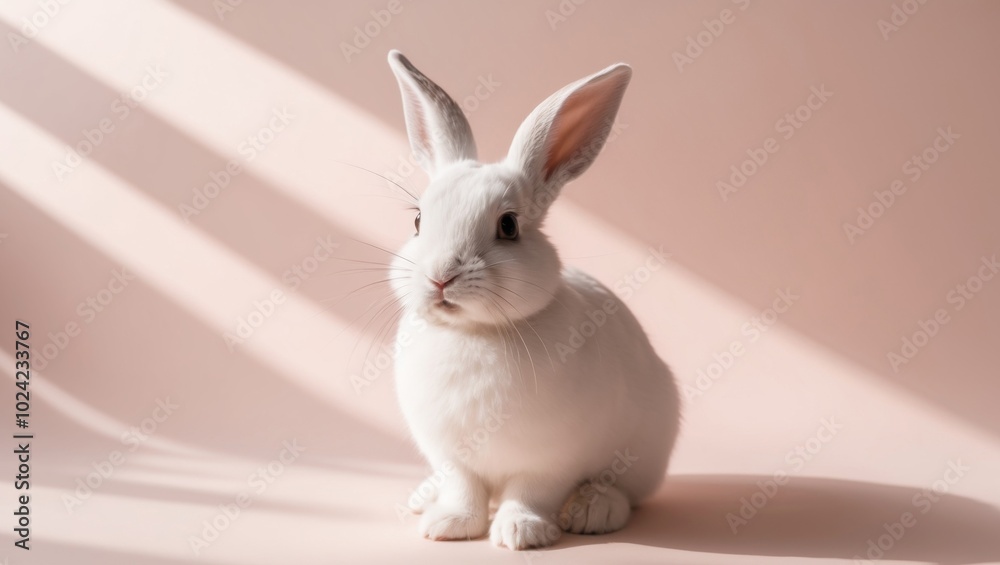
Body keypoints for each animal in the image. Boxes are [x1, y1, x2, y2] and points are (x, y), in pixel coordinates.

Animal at [385, 50, 680, 550]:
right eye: (419, 221)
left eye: (508, 226)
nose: (441, 277)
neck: (474, 333)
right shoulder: (450, 454)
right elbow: (463, 487)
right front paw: (450, 525)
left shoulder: (550, 459)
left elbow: (530, 492)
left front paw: (522, 532)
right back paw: (424, 498)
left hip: (644, 450)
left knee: (626, 490)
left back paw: (594, 510)